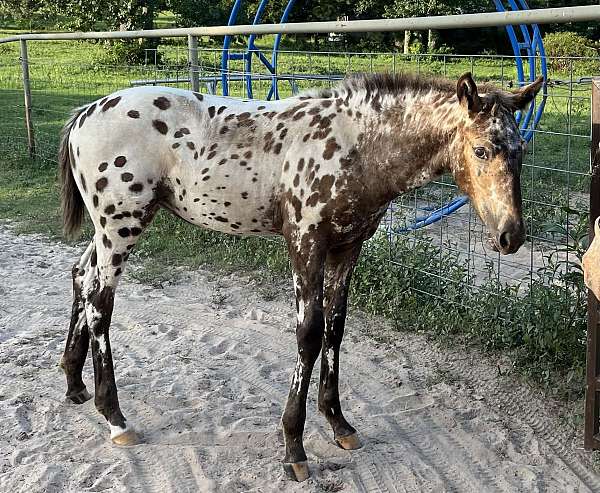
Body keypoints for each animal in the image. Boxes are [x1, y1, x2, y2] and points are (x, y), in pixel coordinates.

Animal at [59, 73, 544, 480]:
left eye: (521, 151)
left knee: (81, 276)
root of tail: (85, 113)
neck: (357, 147)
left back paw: (74, 384)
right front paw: (294, 446)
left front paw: (340, 423)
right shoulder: (305, 245)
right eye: (481, 150)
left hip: (108, 230)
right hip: (122, 225)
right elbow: (309, 335)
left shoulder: (348, 248)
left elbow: (336, 327)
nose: (511, 236)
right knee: (101, 301)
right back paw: (115, 417)